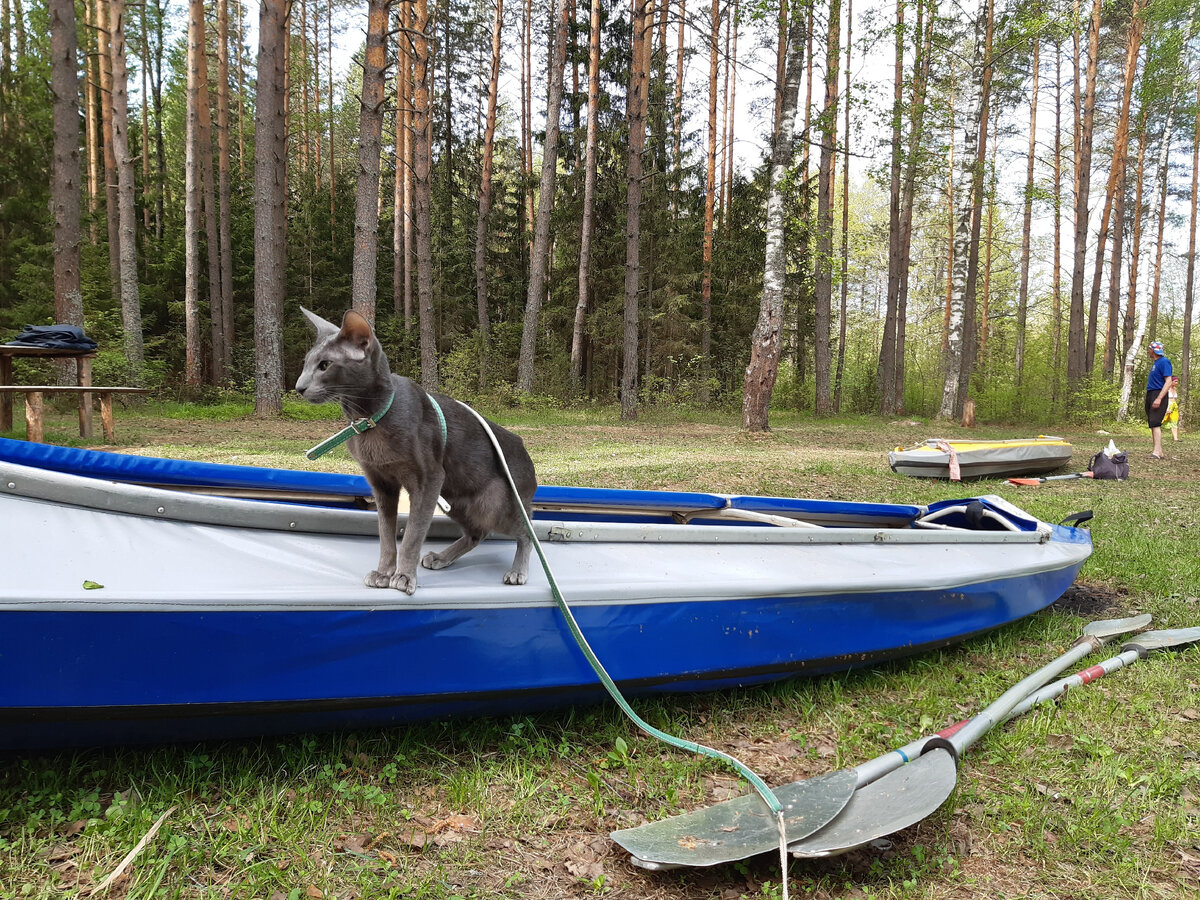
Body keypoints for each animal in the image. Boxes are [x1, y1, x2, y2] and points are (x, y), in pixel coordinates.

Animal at [292, 307, 537, 595]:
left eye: (325, 365)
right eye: (307, 363)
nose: (298, 387)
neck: (368, 419)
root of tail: (523, 445)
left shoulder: (428, 479)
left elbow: (413, 533)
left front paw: (404, 577)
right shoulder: (381, 483)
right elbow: (386, 534)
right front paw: (384, 572)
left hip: (494, 503)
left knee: (527, 528)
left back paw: (518, 571)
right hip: (455, 501)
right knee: (477, 533)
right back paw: (441, 558)